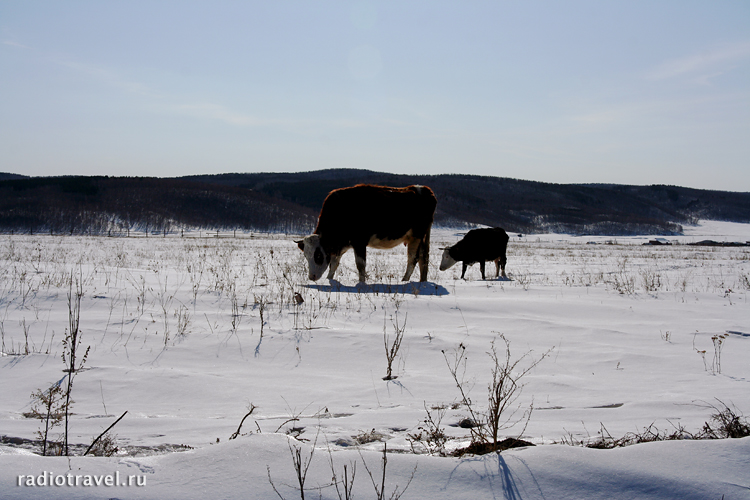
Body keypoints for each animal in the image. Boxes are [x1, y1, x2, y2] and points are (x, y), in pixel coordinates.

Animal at [296, 186, 438, 284]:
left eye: (318, 256)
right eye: (306, 256)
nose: (312, 277)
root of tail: (424, 190)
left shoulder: (359, 242)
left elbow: (360, 264)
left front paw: (362, 283)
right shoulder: (341, 245)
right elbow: (334, 264)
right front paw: (329, 279)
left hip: (416, 236)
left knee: (413, 259)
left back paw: (404, 281)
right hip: (422, 237)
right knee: (423, 258)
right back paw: (422, 282)